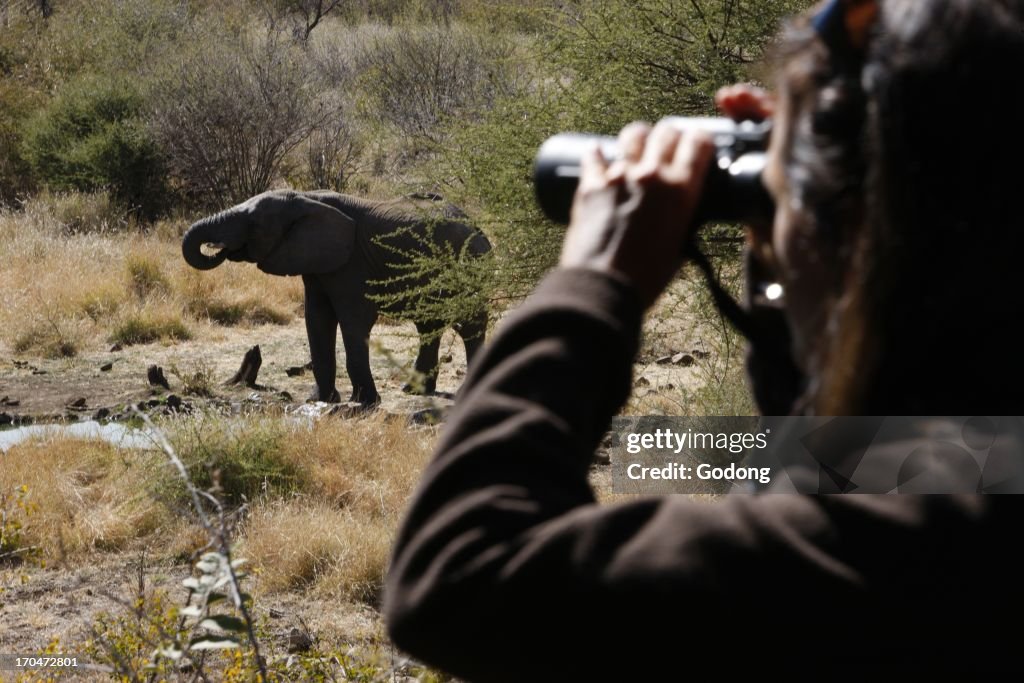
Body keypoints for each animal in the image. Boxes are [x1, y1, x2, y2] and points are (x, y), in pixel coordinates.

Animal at [183, 189, 491, 405]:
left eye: (254, 223)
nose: (220, 247)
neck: (307, 197)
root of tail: (477, 227)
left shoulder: (352, 262)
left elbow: (354, 320)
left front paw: (365, 402)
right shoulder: (317, 264)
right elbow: (316, 318)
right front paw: (319, 399)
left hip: (469, 264)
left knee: (470, 326)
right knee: (429, 325)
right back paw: (413, 391)